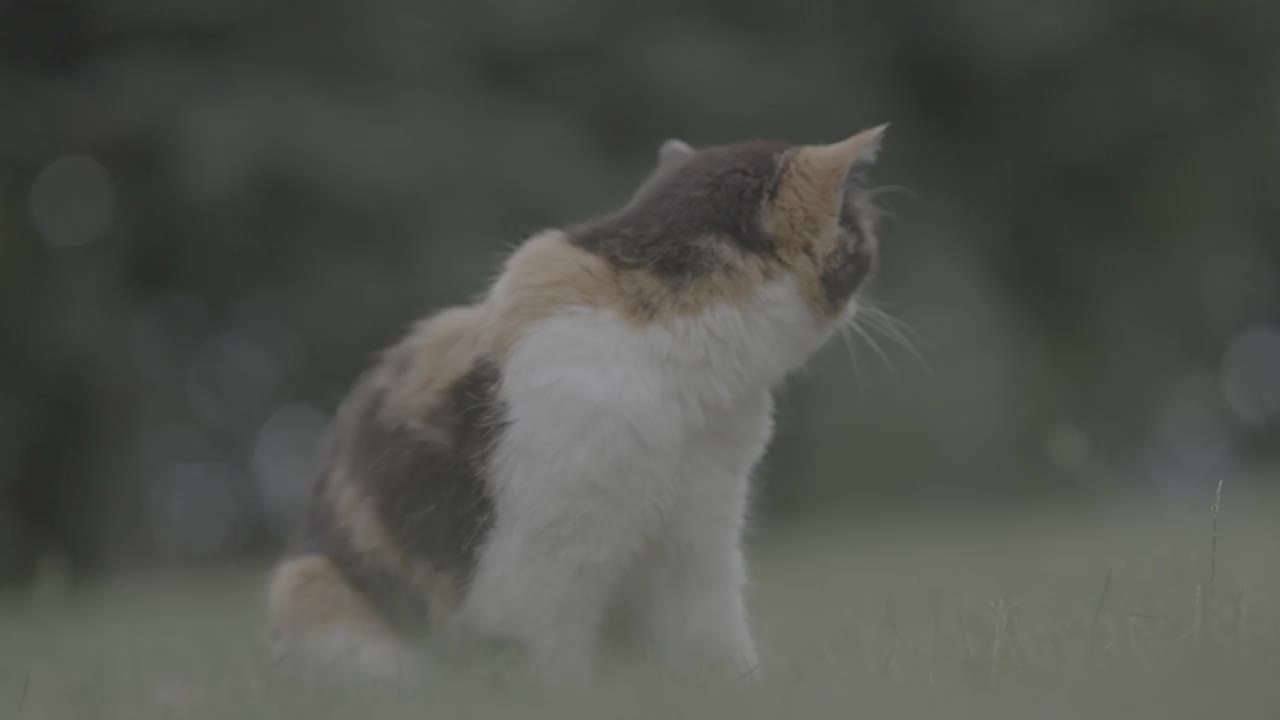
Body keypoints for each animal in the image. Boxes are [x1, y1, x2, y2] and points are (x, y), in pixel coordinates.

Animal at [267, 122, 890, 681]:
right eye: (861, 234)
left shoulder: (702, 524)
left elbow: (709, 628)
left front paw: (735, 685)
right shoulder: (544, 552)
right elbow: (550, 653)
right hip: (310, 589)